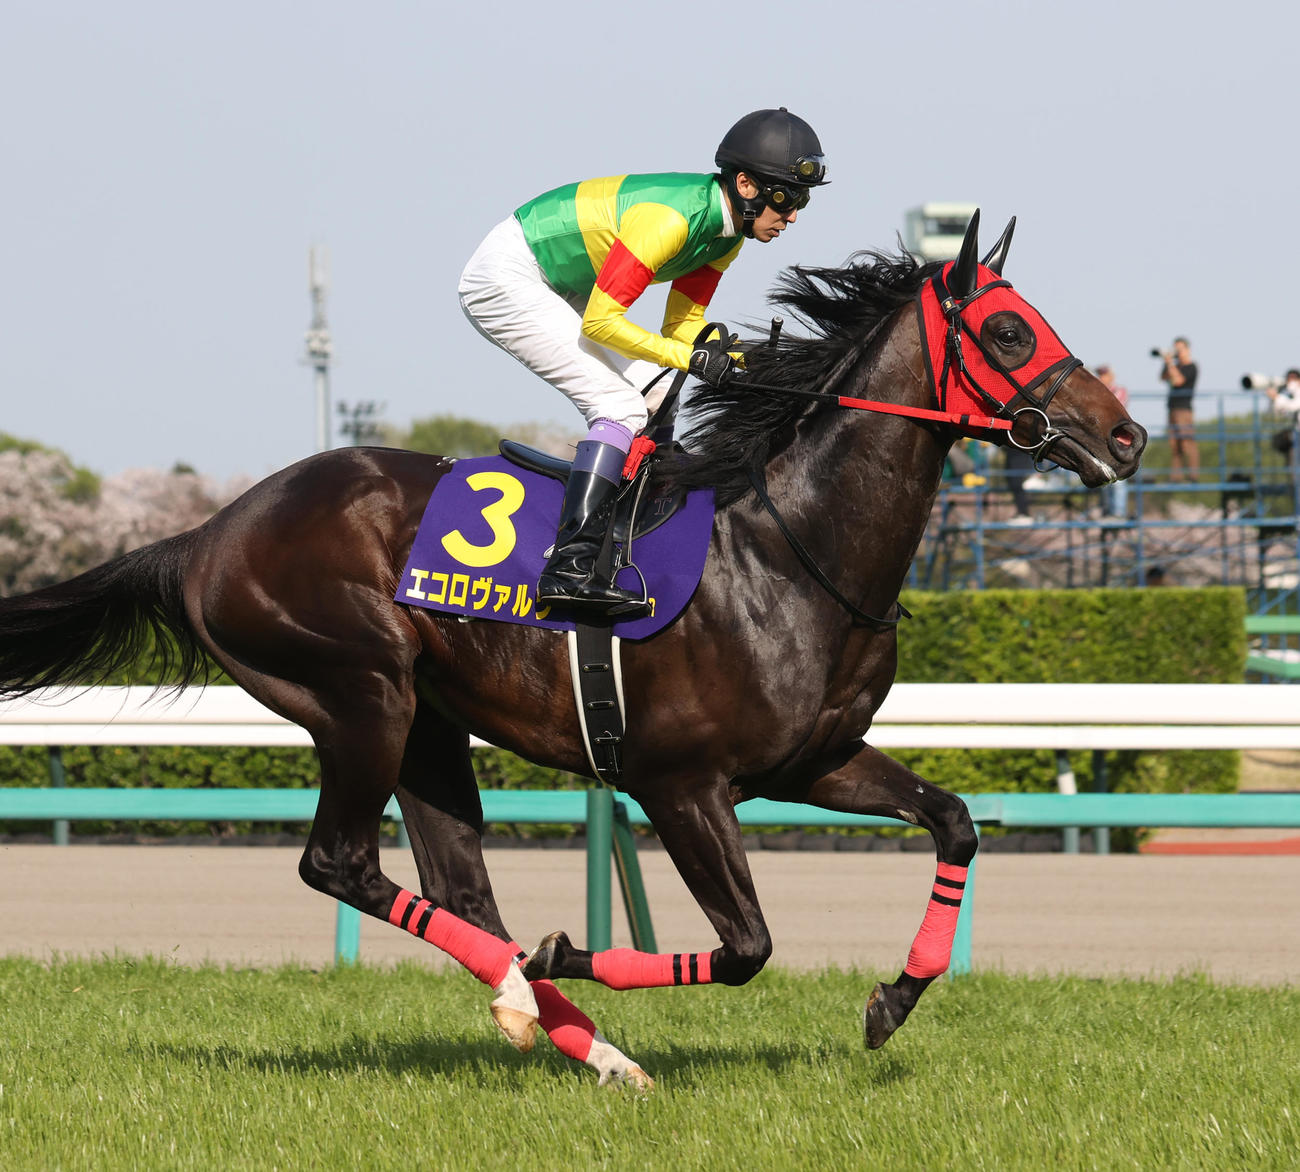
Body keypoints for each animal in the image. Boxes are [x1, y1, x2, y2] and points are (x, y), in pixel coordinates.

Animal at [0, 212, 1145, 1089]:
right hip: (359, 691)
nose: (1126, 436)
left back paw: (573, 1034)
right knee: (341, 862)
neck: (789, 550)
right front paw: (573, 947)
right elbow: (745, 948)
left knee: (456, 886)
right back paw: (529, 986)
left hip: (429, 724)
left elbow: (955, 822)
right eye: (1008, 330)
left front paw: (894, 998)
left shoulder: (813, 760)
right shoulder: (681, 782)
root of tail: (208, 533)